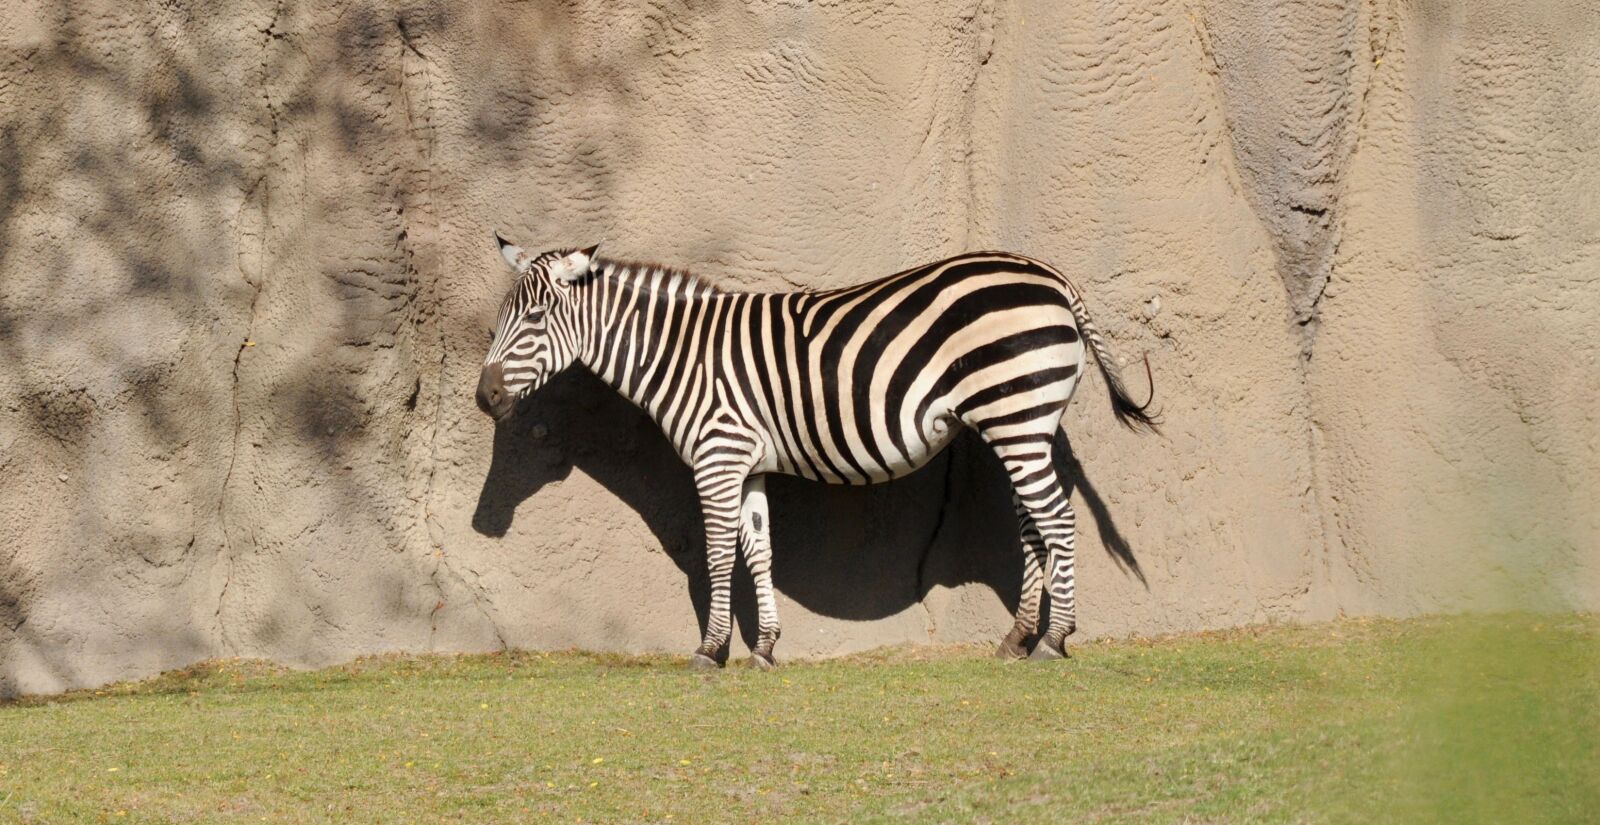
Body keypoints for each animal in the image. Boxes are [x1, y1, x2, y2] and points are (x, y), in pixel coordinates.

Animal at [476, 234, 1158, 669]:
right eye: (502, 316)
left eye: (533, 318)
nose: (484, 397)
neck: (679, 356)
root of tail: (1053, 276)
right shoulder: (747, 465)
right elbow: (759, 550)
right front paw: (765, 649)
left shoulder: (718, 456)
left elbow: (718, 555)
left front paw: (711, 651)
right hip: (1018, 423)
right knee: (1034, 522)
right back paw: (1018, 637)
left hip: (1016, 416)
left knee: (1058, 519)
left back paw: (1054, 640)